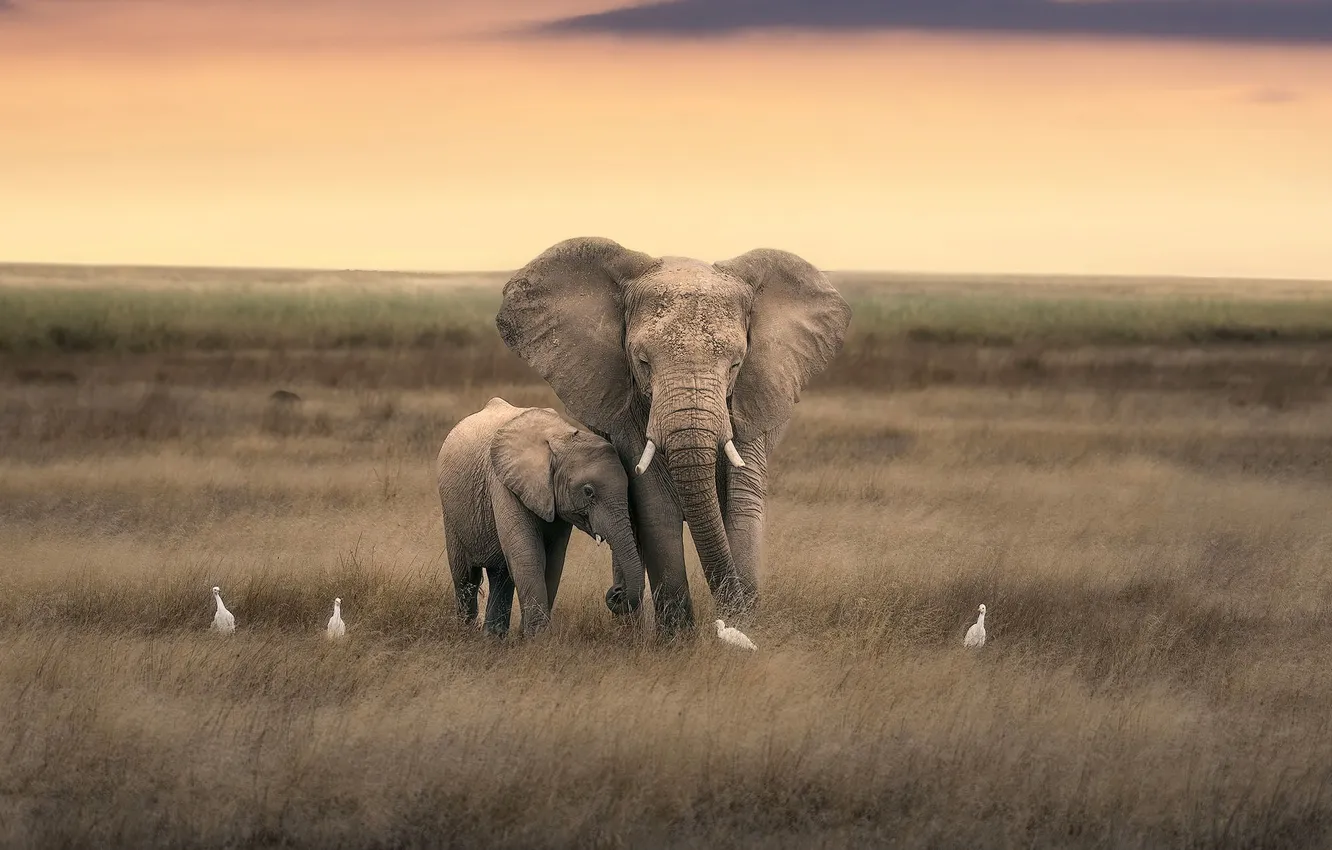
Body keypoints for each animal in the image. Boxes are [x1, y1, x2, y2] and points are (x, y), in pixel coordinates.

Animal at [435, 397, 646, 638]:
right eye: (588, 492)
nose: (617, 590)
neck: (561, 437)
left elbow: (553, 560)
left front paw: (527, 636)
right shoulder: (503, 483)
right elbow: (528, 556)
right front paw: (536, 638)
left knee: (500, 576)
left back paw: (493, 638)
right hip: (451, 512)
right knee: (465, 576)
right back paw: (466, 634)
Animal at [495, 237, 851, 637]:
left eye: (736, 364)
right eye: (643, 363)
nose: (728, 621)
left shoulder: (750, 399)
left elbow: (743, 502)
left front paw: (744, 626)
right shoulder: (630, 406)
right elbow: (655, 503)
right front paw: (678, 639)